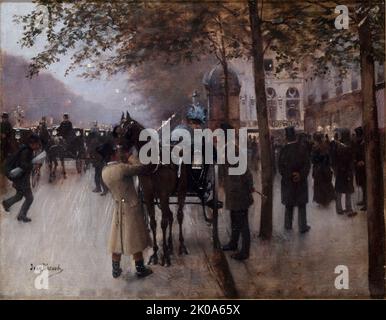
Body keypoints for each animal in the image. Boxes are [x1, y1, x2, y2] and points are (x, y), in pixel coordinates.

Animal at [116, 111, 188, 266]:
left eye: (128, 130)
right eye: (118, 130)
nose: (120, 152)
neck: (154, 162)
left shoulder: (163, 194)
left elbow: (163, 223)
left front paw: (164, 255)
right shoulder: (149, 195)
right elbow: (154, 222)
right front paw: (155, 253)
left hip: (181, 191)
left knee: (179, 216)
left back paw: (180, 245)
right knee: (170, 215)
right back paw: (170, 245)